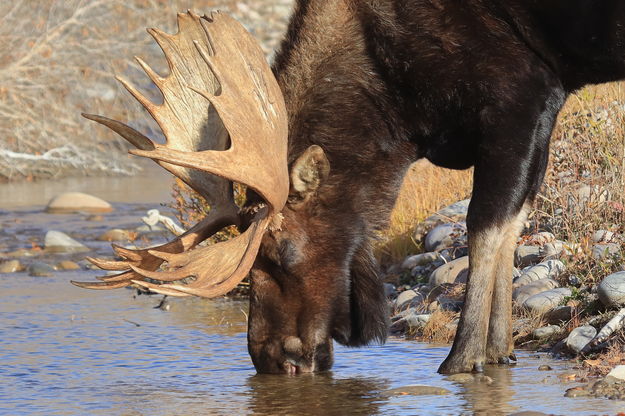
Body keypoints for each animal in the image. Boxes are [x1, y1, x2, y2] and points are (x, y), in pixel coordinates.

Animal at [75, 0, 624, 376]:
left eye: (279, 252)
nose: (268, 356)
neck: (400, 112)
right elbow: (514, 224)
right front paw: (499, 350)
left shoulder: (521, 94)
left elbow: (486, 227)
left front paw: (462, 358)